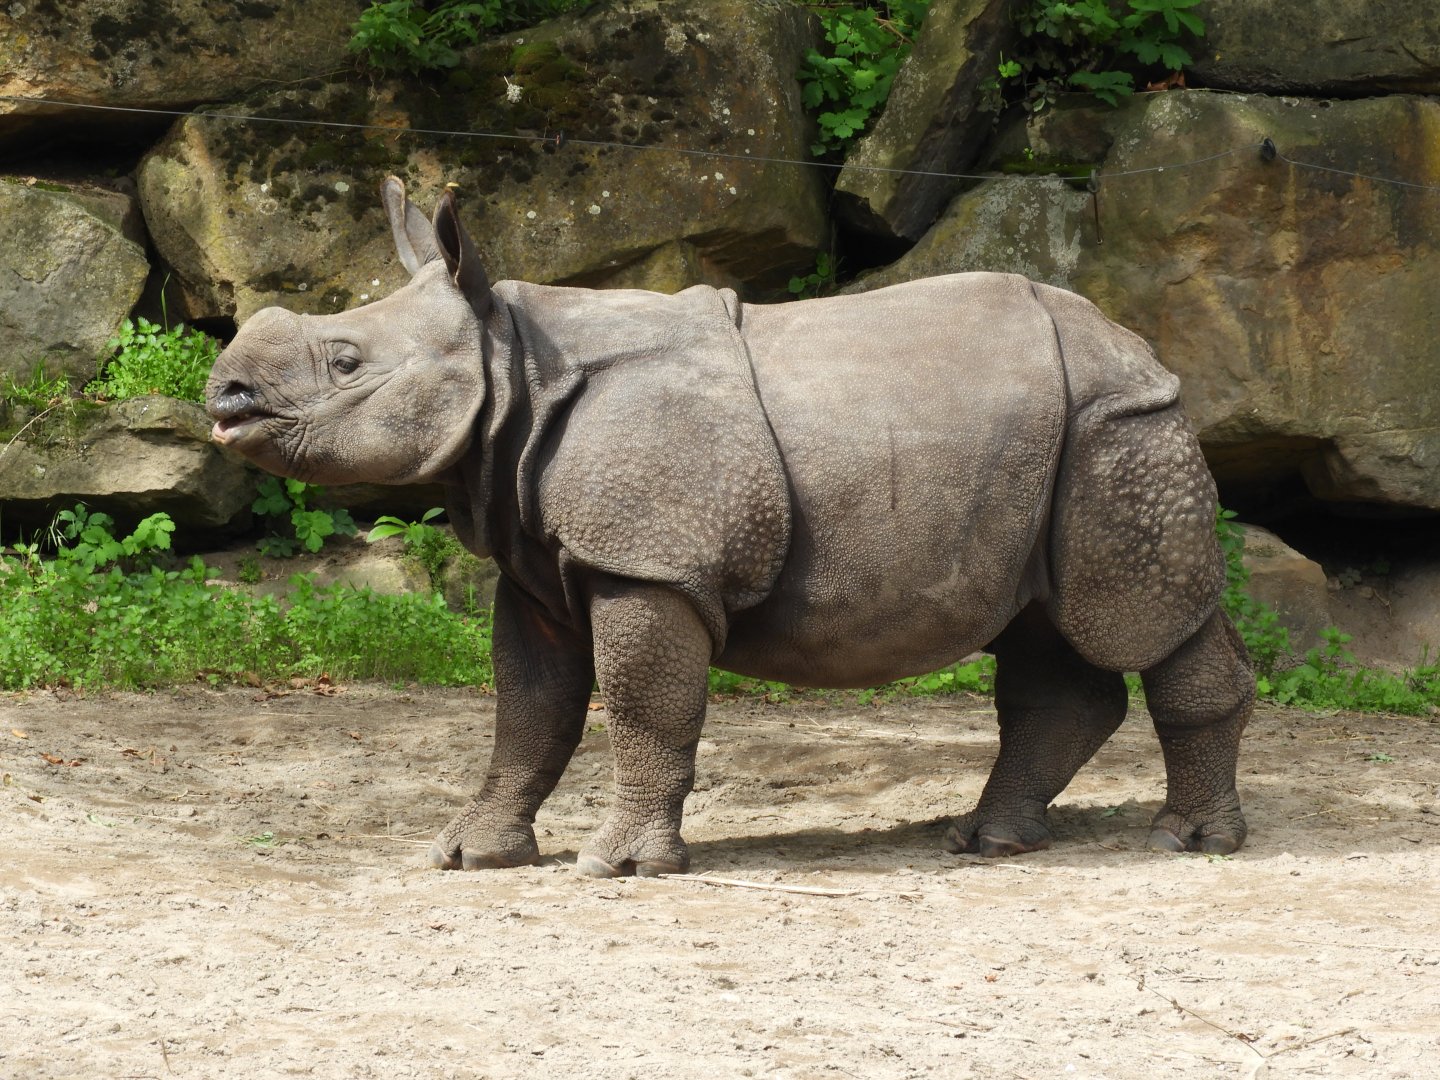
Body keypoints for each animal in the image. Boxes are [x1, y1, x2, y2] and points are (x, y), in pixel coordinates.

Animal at [207, 178, 1255, 877]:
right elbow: (528, 711)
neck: (509, 369)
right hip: (1051, 441)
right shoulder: (538, 561)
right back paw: (986, 841)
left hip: (1122, 429)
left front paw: (621, 868)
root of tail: (1139, 343)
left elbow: (642, 706)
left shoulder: (650, 560)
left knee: (1142, 619)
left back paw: (1188, 841)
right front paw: (470, 856)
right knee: (1040, 631)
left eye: (345, 361)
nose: (225, 396)